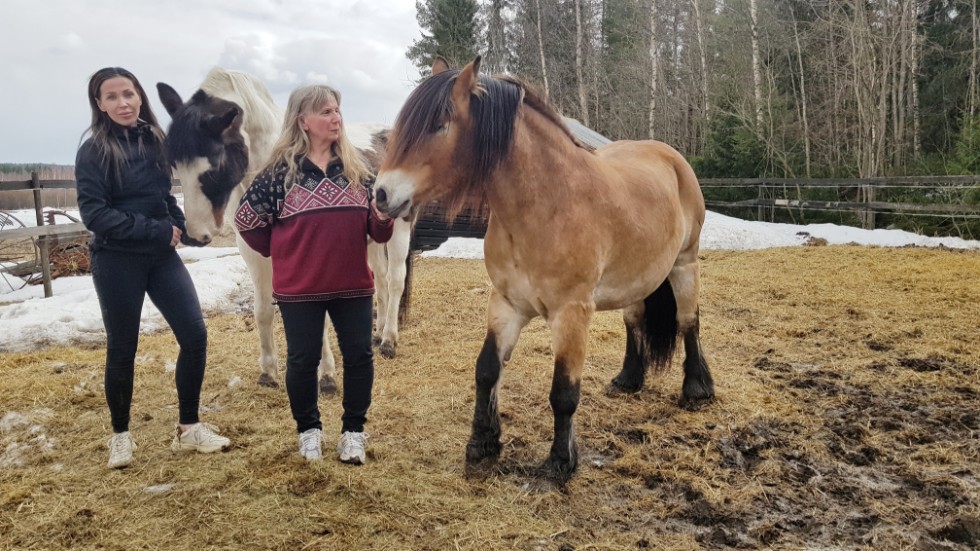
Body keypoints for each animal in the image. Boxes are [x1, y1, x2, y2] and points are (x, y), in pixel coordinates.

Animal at [159, 67, 412, 394]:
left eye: (213, 166)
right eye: (174, 164)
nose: (193, 234)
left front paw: (326, 375)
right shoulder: (254, 251)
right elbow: (263, 309)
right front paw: (268, 370)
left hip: (400, 230)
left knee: (395, 280)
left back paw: (389, 340)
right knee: (380, 278)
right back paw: (378, 333)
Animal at [374, 56, 712, 478]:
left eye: (441, 122)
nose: (380, 194)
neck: (547, 206)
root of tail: (670, 156)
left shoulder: (571, 313)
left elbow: (564, 391)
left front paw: (559, 463)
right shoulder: (506, 304)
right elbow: (487, 370)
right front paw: (482, 445)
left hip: (684, 264)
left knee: (688, 321)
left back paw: (697, 389)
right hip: (639, 277)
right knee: (635, 320)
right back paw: (628, 380)